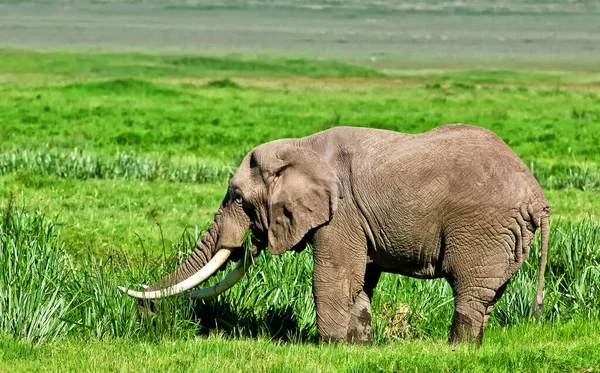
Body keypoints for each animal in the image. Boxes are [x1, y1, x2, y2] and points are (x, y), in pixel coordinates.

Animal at [119, 124, 552, 342]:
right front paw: (358, 347)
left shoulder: (341, 212)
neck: (300, 146)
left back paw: (456, 350)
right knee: (489, 294)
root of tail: (537, 197)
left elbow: (333, 276)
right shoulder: (358, 218)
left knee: (470, 291)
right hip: (505, 234)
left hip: (482, 227)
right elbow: (360, 280)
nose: (146, 315)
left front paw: (327, 348)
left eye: (238, 199)